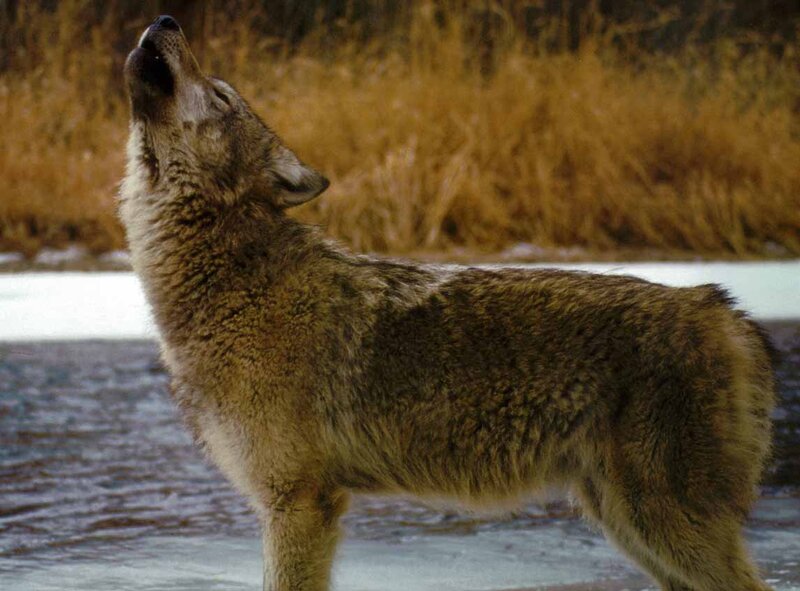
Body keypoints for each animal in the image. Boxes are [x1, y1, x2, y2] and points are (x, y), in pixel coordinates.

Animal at [121, 15, 777, 591]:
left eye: (221, 95)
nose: (166, 18)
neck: (233, 283)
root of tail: (724, 309)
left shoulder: (301, 501)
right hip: (628, 525)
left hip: (660, 523)